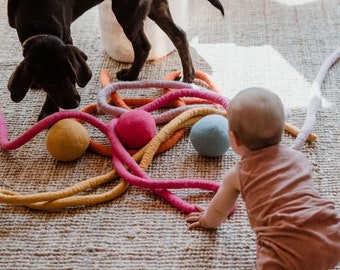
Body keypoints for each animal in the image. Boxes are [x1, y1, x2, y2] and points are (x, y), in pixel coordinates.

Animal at [7, 0, 223, 120]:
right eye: (48, 83)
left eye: (72, 76)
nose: (74, 103)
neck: (39, 17)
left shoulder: (66, 35)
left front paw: (48, 111)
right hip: (154, 6)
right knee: (179, 35)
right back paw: (188, 76)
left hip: (126, 9)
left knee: (143, 45)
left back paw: (132, 75)